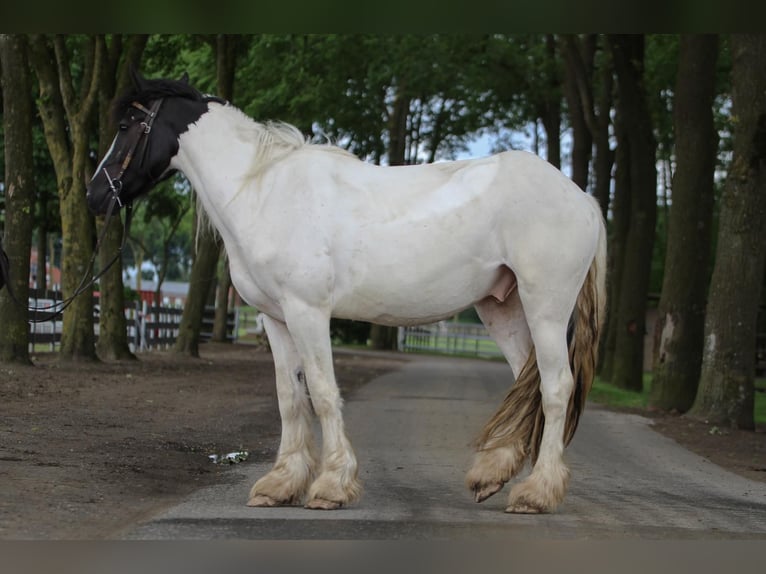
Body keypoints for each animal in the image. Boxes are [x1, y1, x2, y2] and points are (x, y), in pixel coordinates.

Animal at [86, 72, 606, 514]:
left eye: (127, 124)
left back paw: (538, 492)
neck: (262, 191)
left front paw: (331, 486)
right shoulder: (275, 319)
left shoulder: (308, 312)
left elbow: (321, 391)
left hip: (545, 308)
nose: (95, 196)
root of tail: (582, 197)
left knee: (556, 387)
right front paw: (281, 484)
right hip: (503, 307)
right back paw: (492, 475)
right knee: (528, 382)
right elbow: (289, 396)